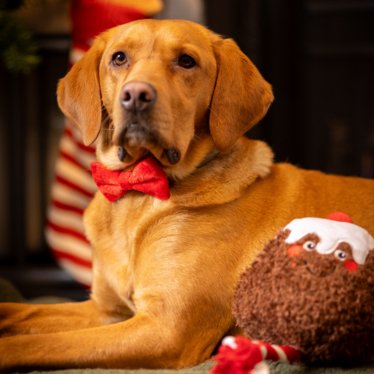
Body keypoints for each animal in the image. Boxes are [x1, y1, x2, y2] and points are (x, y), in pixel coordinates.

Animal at [0, 19, 374, 370]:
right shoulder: (107, 310)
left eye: (186, 61)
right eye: (119, 58)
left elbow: (44, 343)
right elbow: (22, 312)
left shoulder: (166, 328)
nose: (136, 95)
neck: (137, 191)